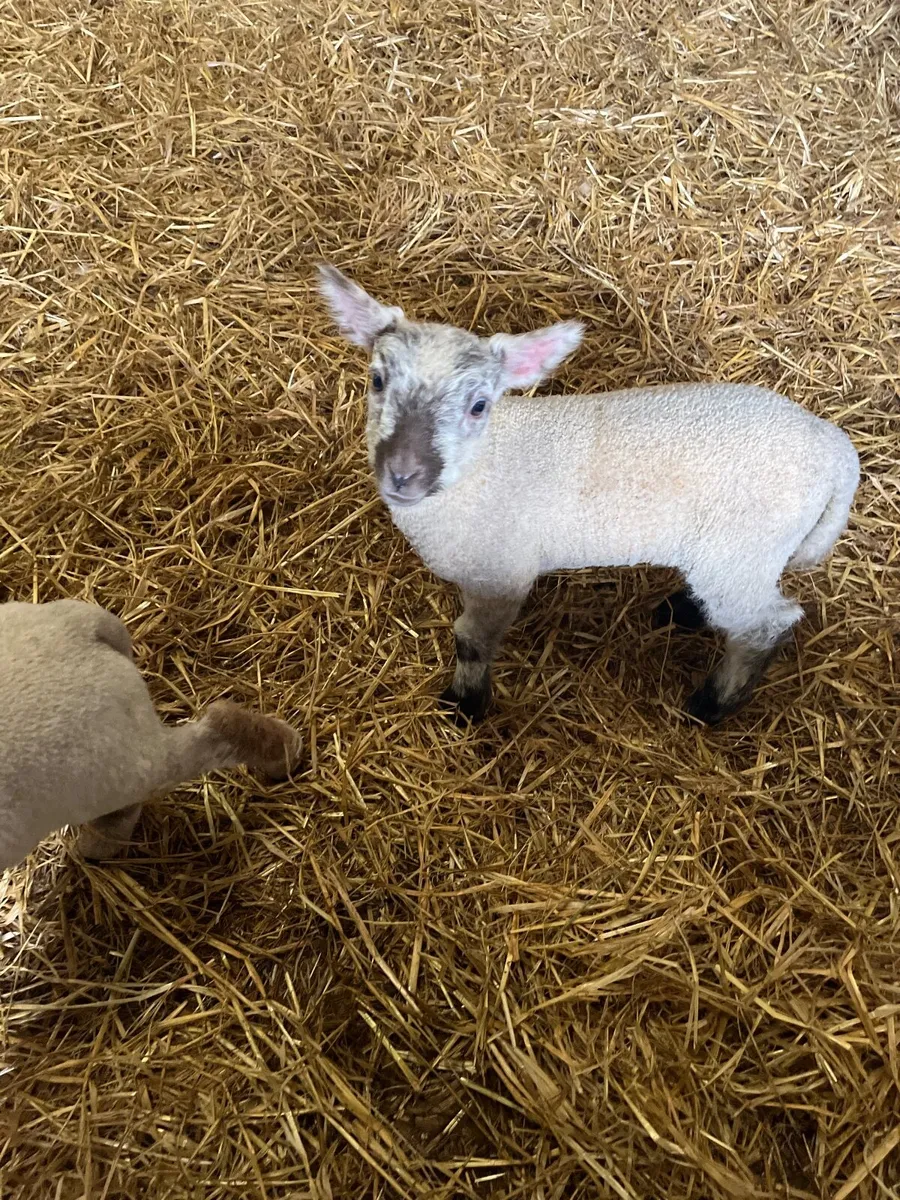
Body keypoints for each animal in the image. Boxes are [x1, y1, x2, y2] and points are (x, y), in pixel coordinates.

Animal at [318, 264, 860, 725]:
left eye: (479, 405)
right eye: (377, 380)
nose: (404, 474)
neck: (483, 471)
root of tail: (834, 448)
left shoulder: (501, 575)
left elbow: (470, 642)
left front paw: (465, 705)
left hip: (745, 548)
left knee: (767, 624)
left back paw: (711, 704)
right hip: (730, 552)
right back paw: (683, 612)